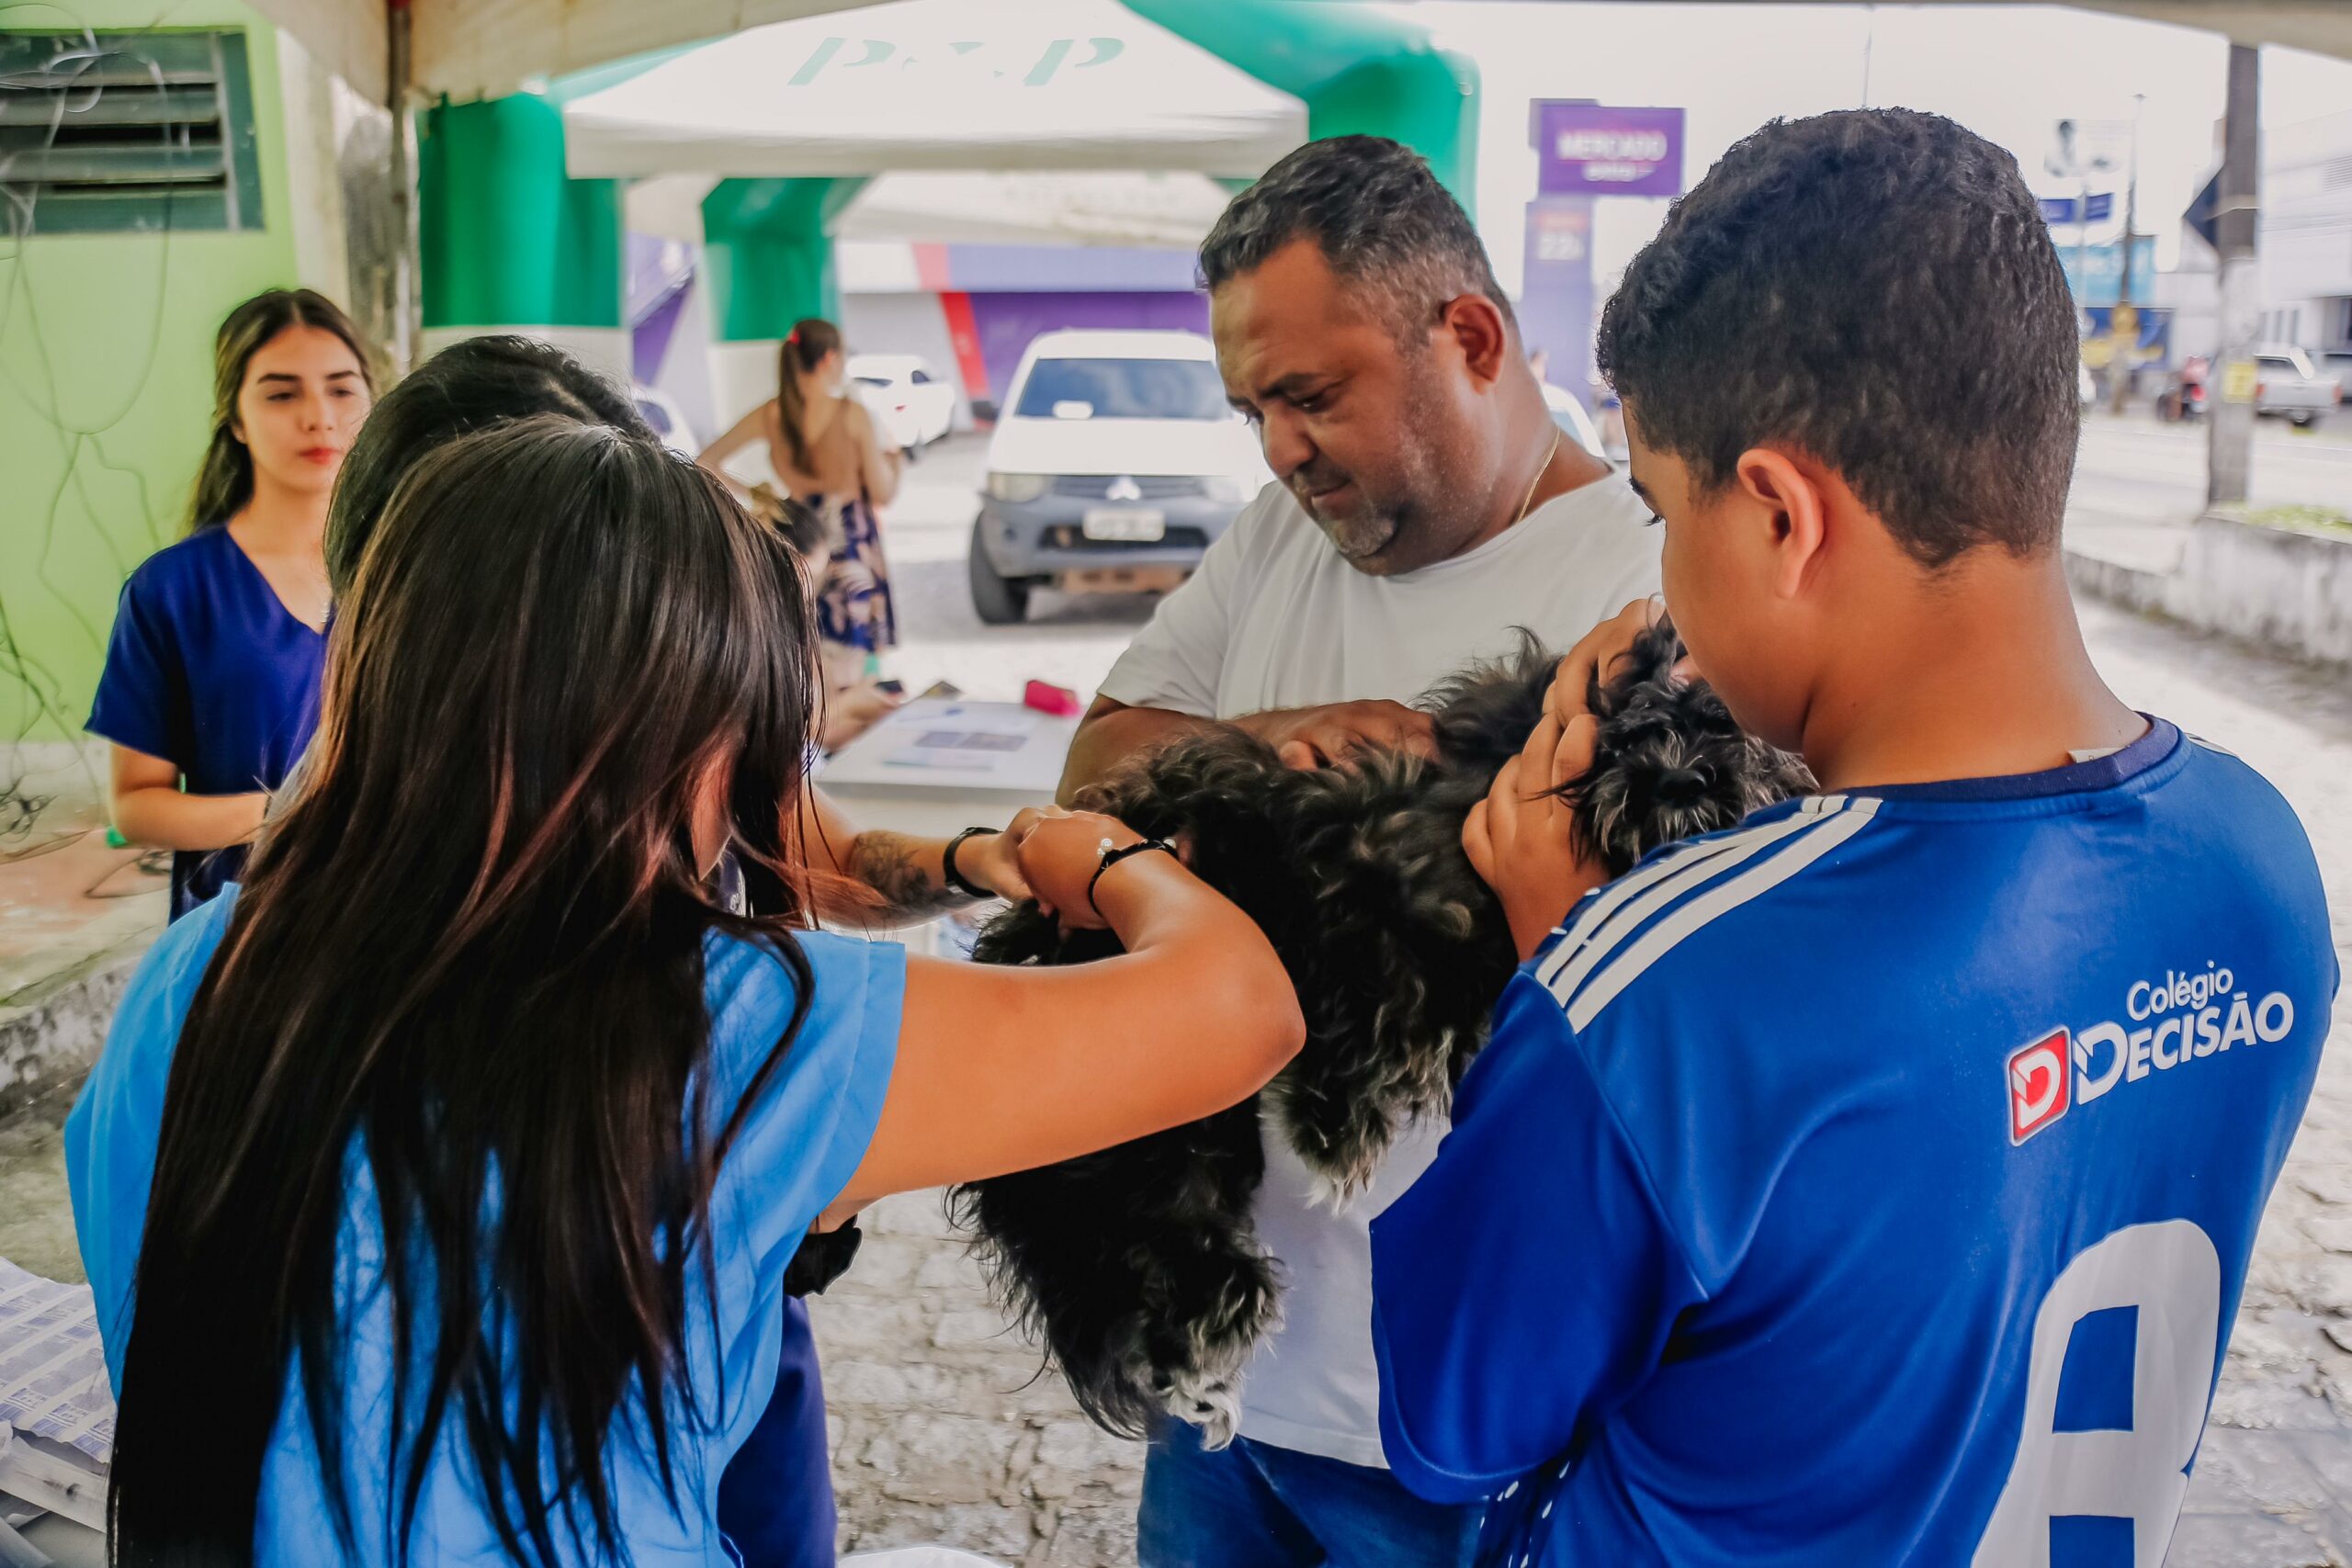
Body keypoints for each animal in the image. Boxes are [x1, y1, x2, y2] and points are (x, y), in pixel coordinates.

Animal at [945, 620, 1806, 1448]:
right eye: (1630, 724)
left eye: (1729, 720)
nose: (1680, 777)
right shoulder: (1349, 849)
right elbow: (1362, 968)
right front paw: (1335, 1119)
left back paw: (1203, 1343)